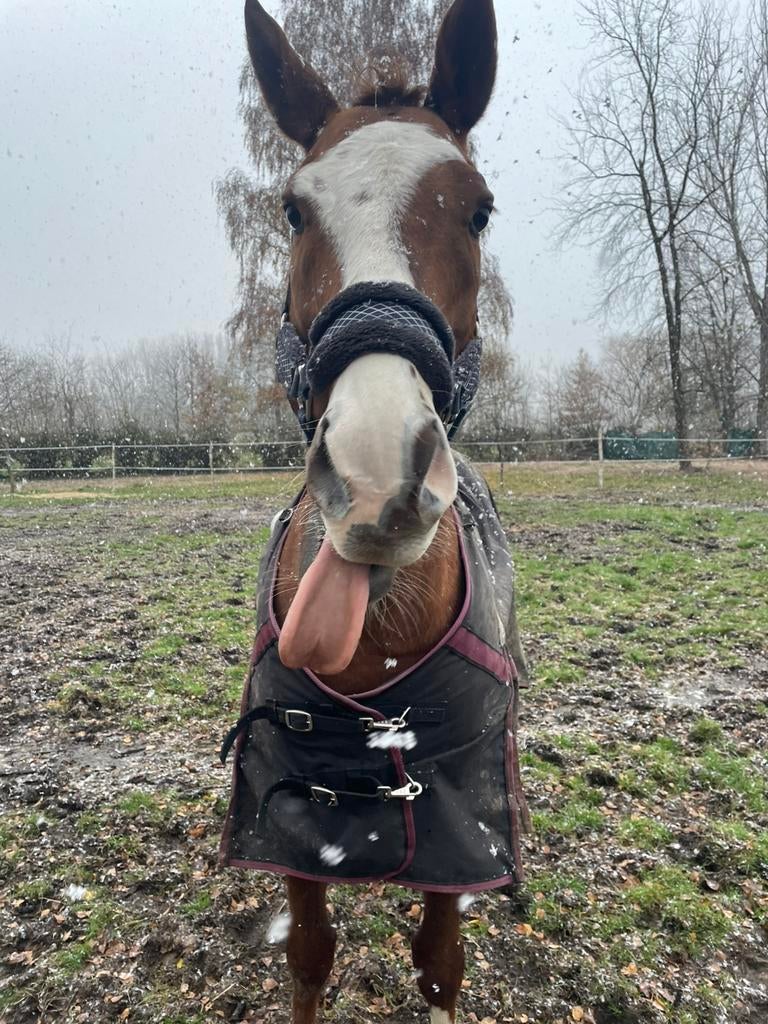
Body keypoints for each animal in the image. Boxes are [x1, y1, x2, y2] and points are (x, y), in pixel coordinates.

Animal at [219, 2, 528, 1022]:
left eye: (479, 207)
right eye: (293, 208)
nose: (375, 474)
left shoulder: (456, 840)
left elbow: (439, 963)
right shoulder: (293, 826)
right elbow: (311, 955)